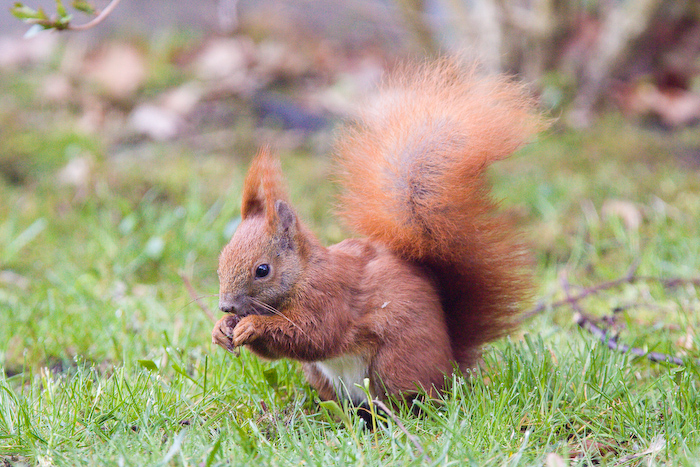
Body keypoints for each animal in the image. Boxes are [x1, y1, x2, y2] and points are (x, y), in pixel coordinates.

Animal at [211, 59, 544, 406]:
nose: (226, 306)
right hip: (321, 376)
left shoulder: (330, 296)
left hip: (396, 364)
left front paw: (251, 325)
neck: (303, 274)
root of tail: (451, 366)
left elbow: (313, 335)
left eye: (262, 270)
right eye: (220, 262)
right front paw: (221, 328)